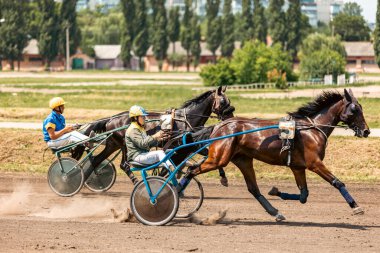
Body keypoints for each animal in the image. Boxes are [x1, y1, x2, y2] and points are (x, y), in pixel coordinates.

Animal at [72, 86, 233, 183]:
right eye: (223, 101)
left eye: (229, 101)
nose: (230, 118)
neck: (186, 119)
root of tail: (112, 118)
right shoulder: (183, 145)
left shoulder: (187, 146)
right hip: (124, 145)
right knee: (124, 164)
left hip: (113, 144)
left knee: (97, 160)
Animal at [183, 89, 370, 221]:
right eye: (354, 110)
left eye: (361, 108)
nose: (367, 131)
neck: (312, 129)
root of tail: (218, 126)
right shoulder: (314, 163)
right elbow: (337, 182)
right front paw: (355, 206)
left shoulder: (297, 167)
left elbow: (303, 196)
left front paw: (276, 191)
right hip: (218, 158)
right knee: (191, 171)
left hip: (243, 160)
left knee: (254, 189)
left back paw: (275, 212)